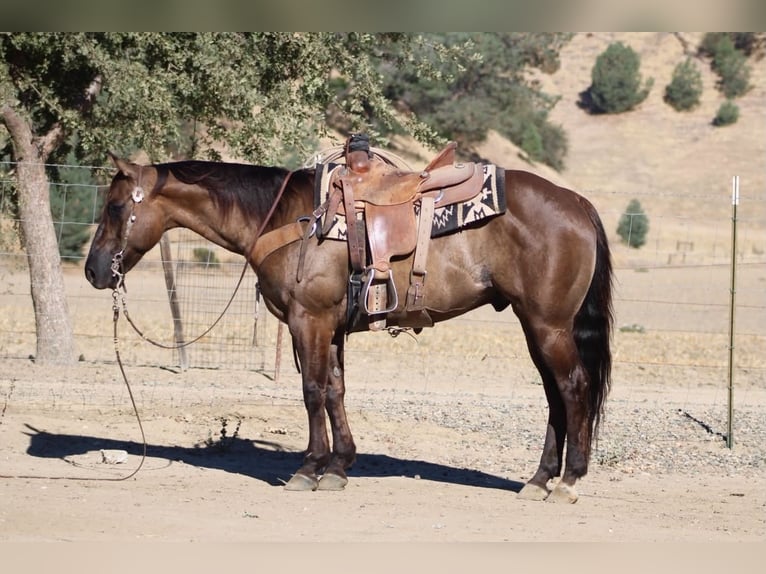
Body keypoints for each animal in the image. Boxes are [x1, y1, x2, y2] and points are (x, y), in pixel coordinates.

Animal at [84, 147, 613, 503]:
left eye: (115, 207)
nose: (93, 271)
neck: (284, 218)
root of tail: (578, 203)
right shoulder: (332, 327)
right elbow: (335, 389)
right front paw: (339, 466)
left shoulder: (309, 320)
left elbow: (313, 390)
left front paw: (309, 467)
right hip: (535, 325)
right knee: (555, 396)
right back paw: (540, 479)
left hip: (548, 325)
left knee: (573, 387)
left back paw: (568, 481)